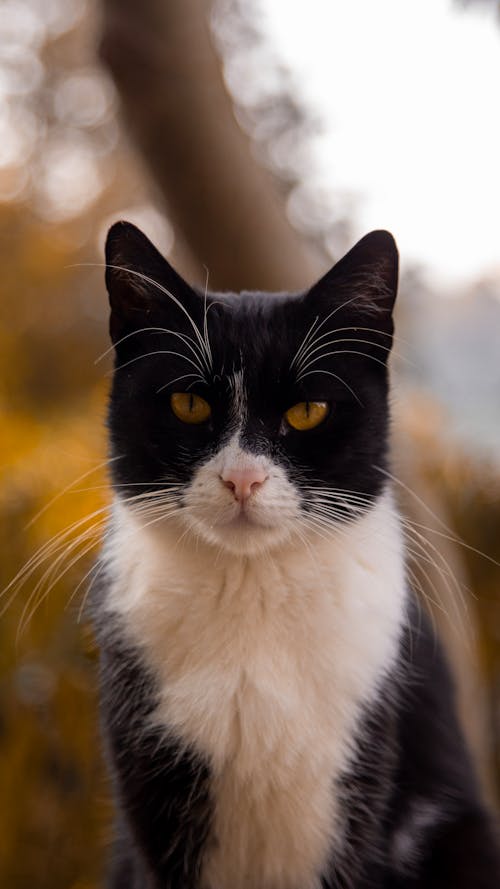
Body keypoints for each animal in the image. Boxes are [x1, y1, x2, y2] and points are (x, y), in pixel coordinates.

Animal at [94, 220, 500, 888]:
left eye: (307, 411)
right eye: (189, 405)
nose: (242, 478)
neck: (250, 586)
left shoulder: (356, 778)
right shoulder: (149, 788)